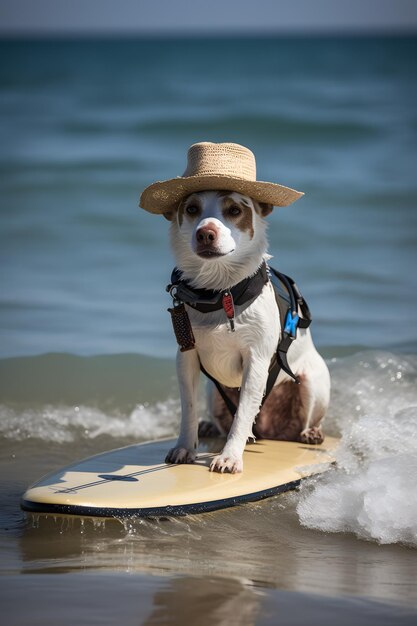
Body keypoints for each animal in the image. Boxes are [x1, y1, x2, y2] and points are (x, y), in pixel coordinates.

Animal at [140, 141, 328, 472]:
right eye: (191, 209)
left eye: (235, 210)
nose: (205, 233)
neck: (219, 292)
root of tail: (269, 431)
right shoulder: (186, 358)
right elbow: (187, 408)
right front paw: (184, 446)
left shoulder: (256, 361)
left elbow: (242, 415)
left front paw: (229, 457)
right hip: (213, 392)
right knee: (223, 417)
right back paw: (209, 427)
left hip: (313, 383)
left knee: (302, 420)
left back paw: (311, 433)